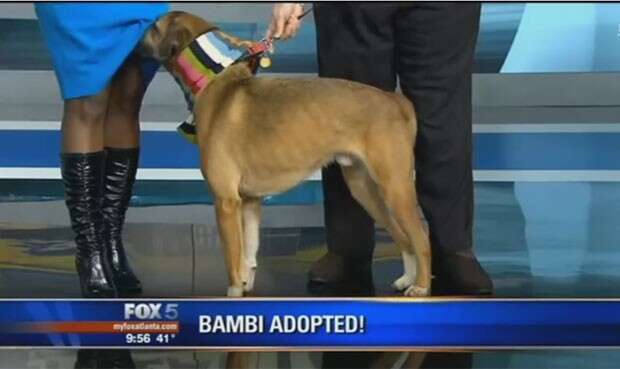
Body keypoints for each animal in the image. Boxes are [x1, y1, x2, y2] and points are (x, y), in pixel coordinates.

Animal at [140, 11, 432, 298]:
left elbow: (233, 261)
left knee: (421, 237)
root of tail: (395, 100)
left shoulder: (226, 203)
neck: (214, 77)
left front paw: (234, 290)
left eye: (155, 27)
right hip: (365, 190)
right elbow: (248, 256)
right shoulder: (250, 202)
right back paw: (406, 278)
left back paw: (421, 286)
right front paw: (247, 284)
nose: (137, 34)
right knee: (403, 238)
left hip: (395, 188)